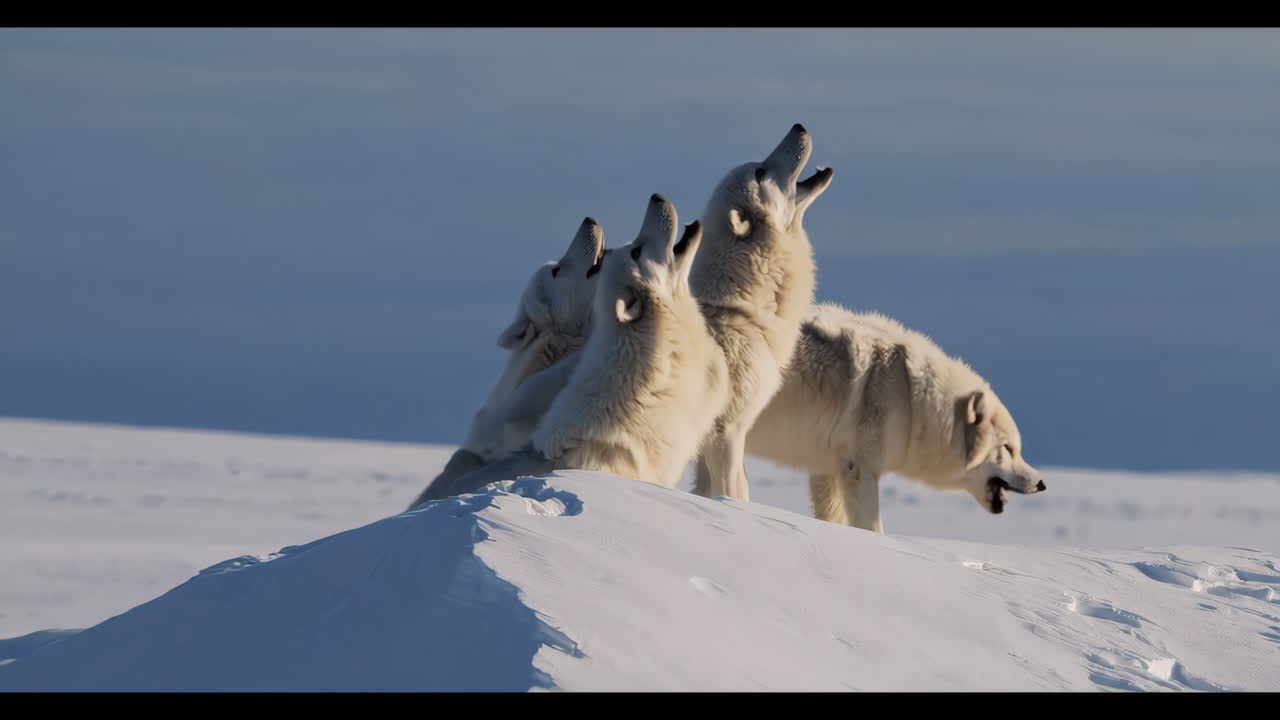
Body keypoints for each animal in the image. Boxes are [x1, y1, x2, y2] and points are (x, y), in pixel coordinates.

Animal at [704, 304, 1047, 532]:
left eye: (1018, 449)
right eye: (1008, 449)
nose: (1041, 483)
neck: (911, 398)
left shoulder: (828, 470)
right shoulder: (860, 470)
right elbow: (872, 528)